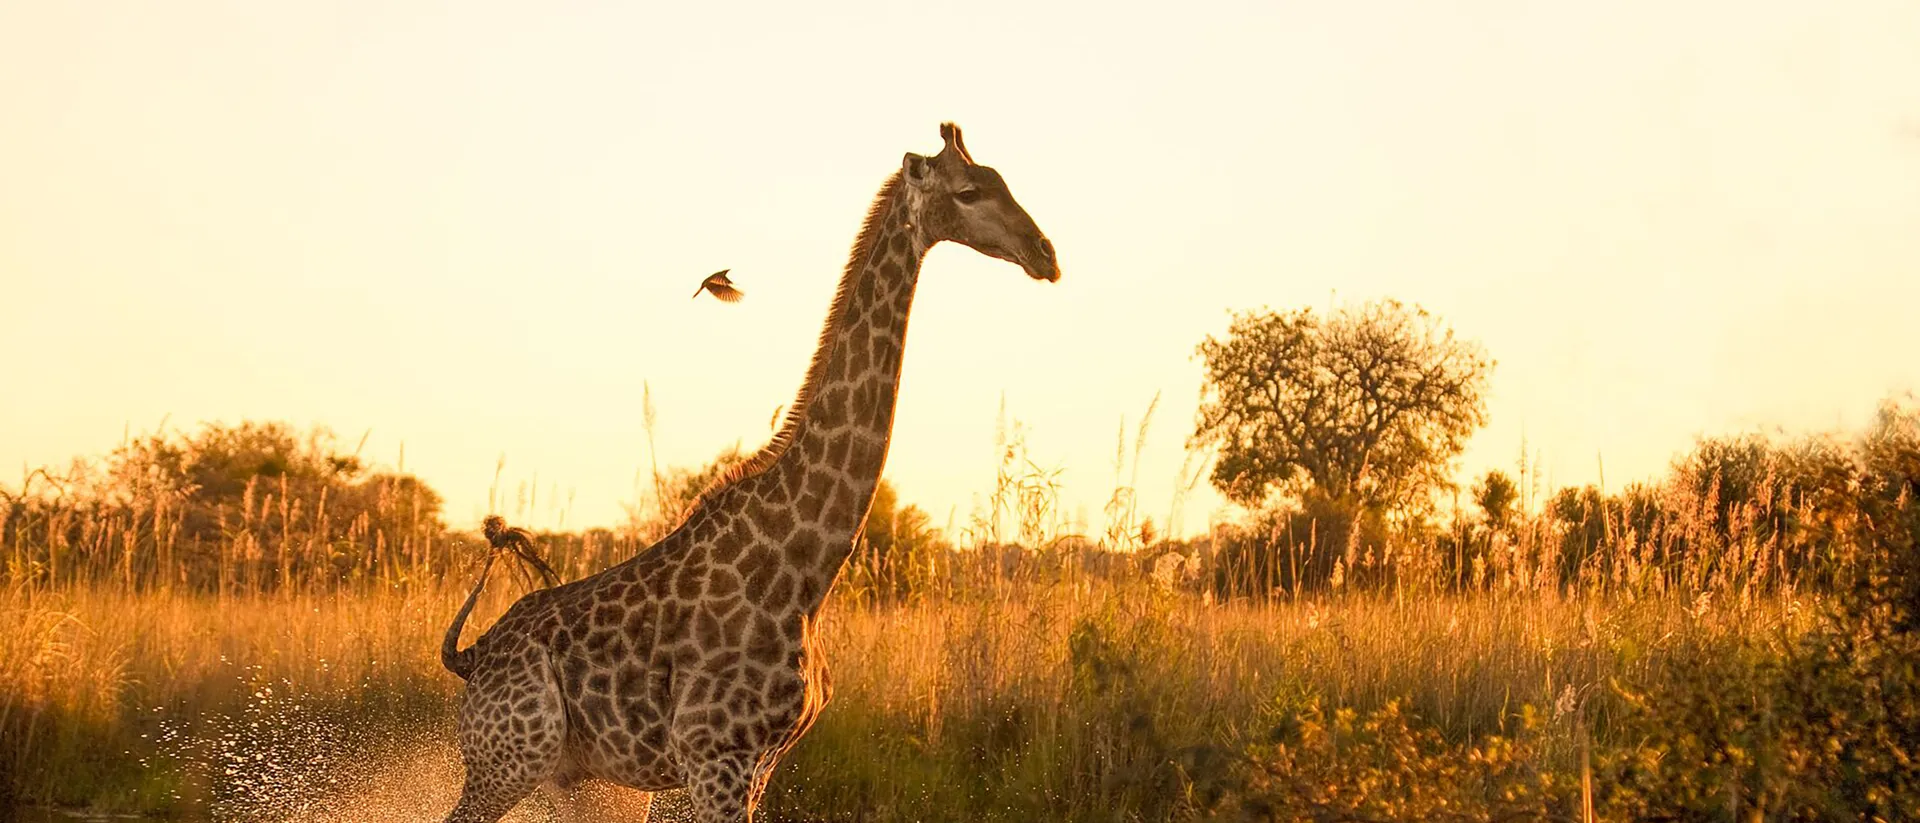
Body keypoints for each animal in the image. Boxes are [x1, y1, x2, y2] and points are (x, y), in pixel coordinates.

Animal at [438, 122, 1059, 823]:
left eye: (1003, 180)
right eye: (969, 191)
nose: (1045, 254)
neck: (804, 573)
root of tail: (470, 659)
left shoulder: (758, 765)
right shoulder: (716, 759)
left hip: (574, 778)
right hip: (505, 762)